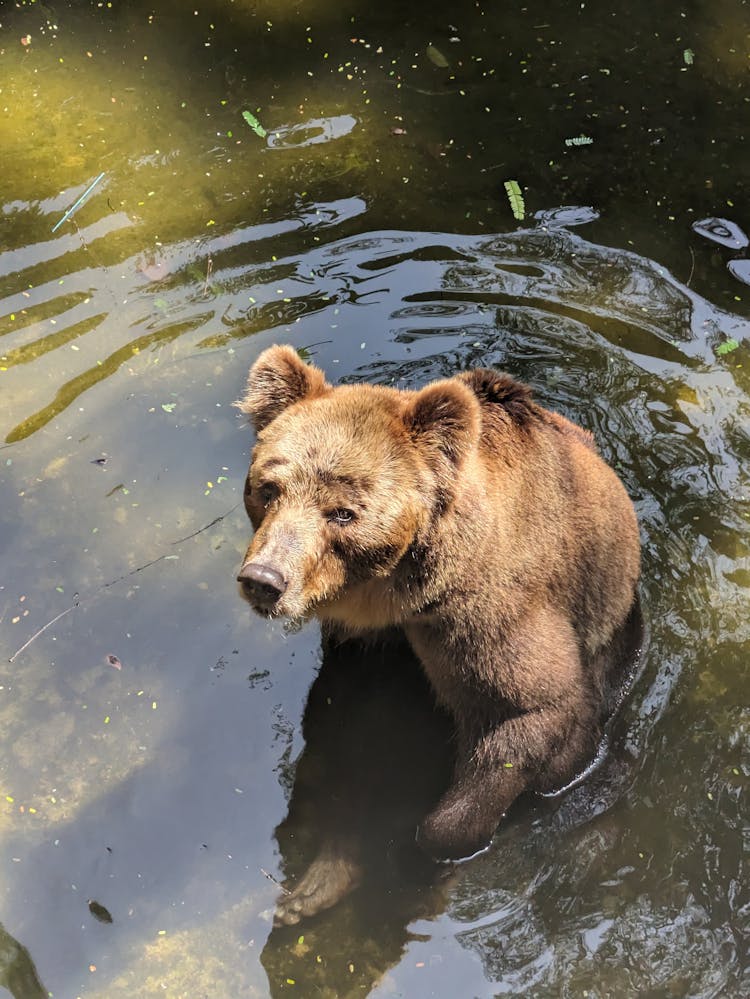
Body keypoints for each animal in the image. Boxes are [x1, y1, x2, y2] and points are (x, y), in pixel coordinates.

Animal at [235, 344, 640, 868]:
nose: (264, 579)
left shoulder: (484, 615)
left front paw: (432, 841)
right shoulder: (363, 639)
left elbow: (534, 710)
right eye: (269, 489)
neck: (398, 592)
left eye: (342, 512)